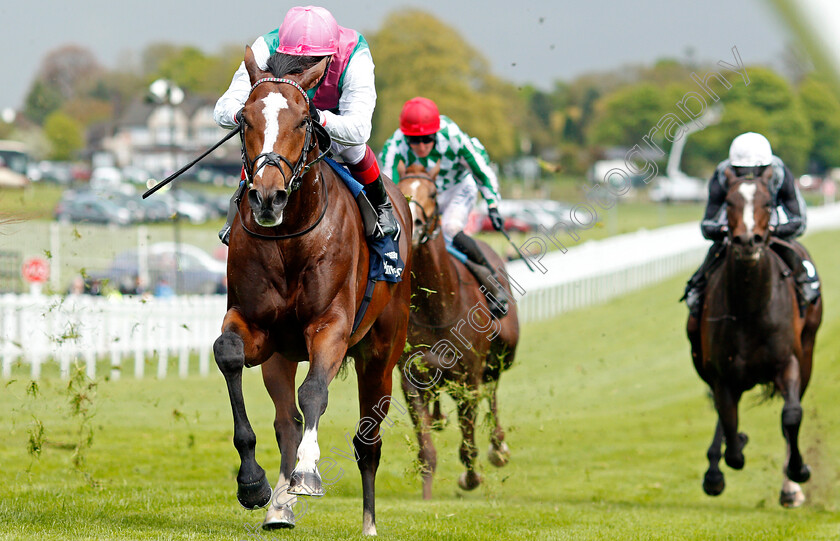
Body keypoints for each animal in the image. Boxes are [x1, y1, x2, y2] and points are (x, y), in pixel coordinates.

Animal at [213, 44, 414, 532]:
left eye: (304, 120)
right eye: (244, 118)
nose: (268, 197)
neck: (291, 238)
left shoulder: (332, 327)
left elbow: (315, 393)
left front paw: (308, 472)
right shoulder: (256, 327)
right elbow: (228, 355)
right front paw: (254, 483)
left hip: (381, 354)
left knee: (367, 439)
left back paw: (368, 523)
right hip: (282, 355)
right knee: (286, 420)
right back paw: (279, 506)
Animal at [396, 163, 520, 498]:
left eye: (433, 193)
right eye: (400, 188)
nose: (414, 225)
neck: (437, 307)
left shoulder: (469, 379)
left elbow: (468, 447)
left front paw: (470, 477)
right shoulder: (411, 378)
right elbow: (426, 450)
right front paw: (426, 497)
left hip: (502, 352)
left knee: (494, 387)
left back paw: (499, 447)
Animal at [692, 166, 824, 506]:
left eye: (767, 203)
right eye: (728, 201)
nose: (747, 240)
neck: (750, 309)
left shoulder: (787, 362)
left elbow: (791, 416)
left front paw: (798, 472)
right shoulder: (722, 373)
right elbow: (729, 427)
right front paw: (730, 450)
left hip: (808, 352)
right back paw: (715, 471)